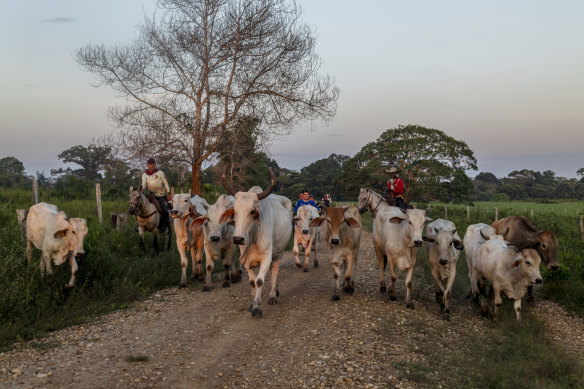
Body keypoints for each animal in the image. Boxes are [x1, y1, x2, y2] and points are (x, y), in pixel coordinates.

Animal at [219, 168, 292, 316]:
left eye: (252, 211)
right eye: (235, 211)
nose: (238, 238)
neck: (253, 237)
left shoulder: (266, 257)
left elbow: (259, 281)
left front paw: (258, 307)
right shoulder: (247, 261)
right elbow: (253, 282)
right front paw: (252, 304)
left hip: (278, 253)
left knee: (275, 271)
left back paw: (273, 295)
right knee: (271, 272)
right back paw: (276, 291)